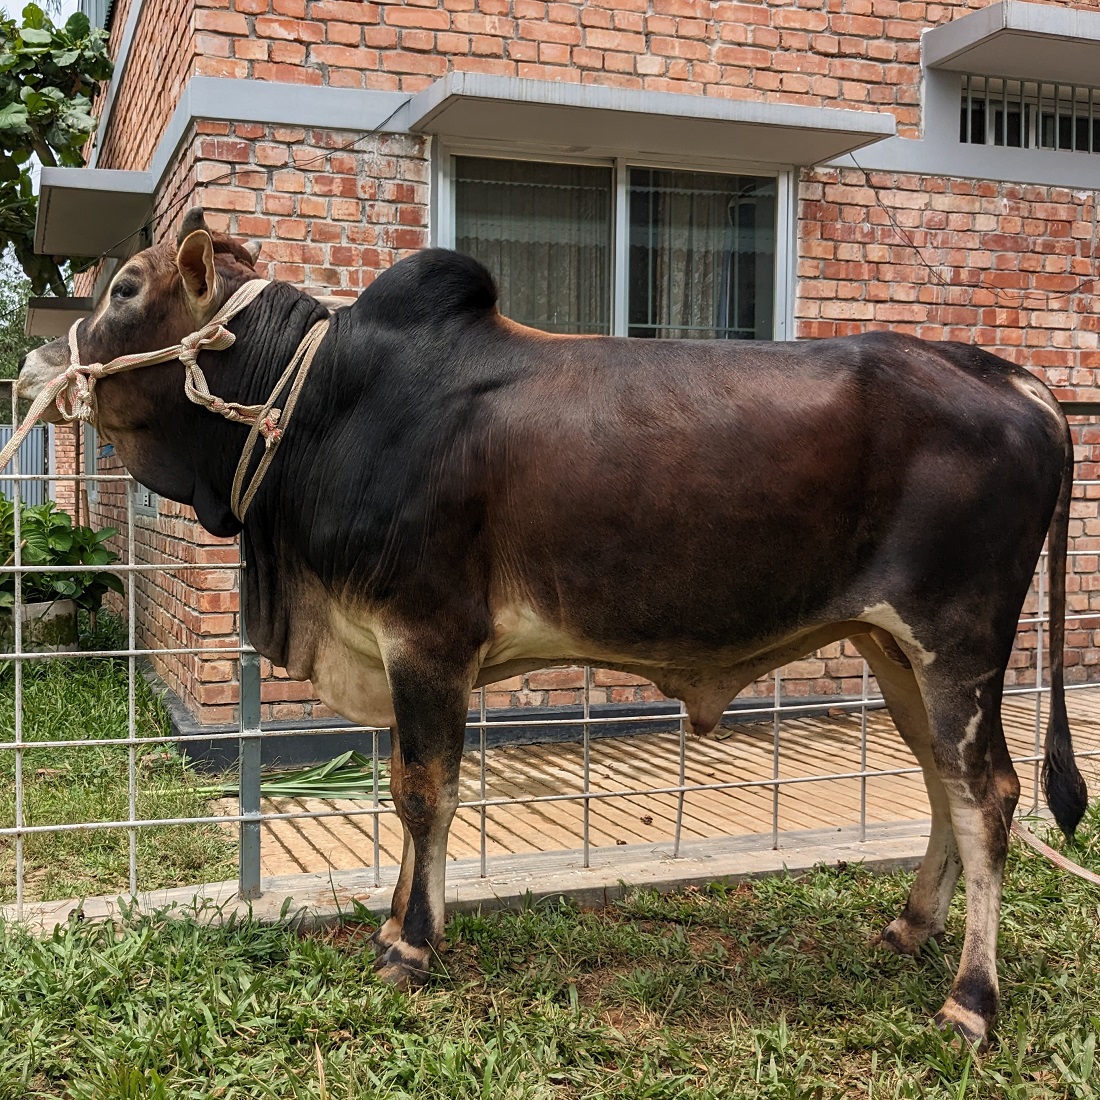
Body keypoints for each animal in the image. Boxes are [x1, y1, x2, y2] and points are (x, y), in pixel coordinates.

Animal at [19, 210, 1091, 1042]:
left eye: (125, 287)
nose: (32, 362)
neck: (321, 403)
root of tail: (1016, 382)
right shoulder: (406, 653)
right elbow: (413, 794)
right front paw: (402, 923)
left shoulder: (427, 637)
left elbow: (424, 794)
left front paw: (410, 945)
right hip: (895, 648)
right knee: (944, 786)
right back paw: (910, 931)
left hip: (959, 645)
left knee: (989, 797)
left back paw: (971, 1001)